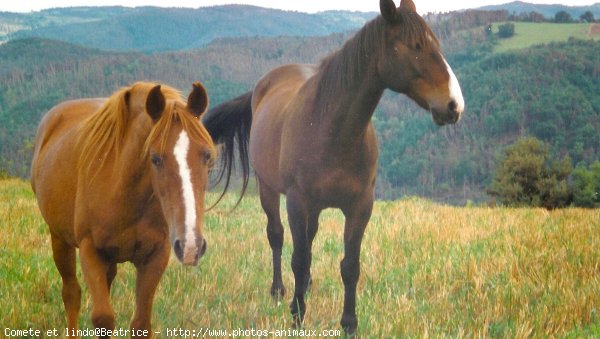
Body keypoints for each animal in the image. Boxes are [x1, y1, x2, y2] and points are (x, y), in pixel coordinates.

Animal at [30, 81, 214, 338]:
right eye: (155, 158)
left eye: (207, 155)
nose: (190, 246)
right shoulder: (90, 250)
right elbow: (103, 318)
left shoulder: (156, 255)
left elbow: (141, 323)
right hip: (59, 238)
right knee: (71, 293)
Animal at [202, 0, 464, 334]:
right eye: (417, 46)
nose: (454, 105)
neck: (331, 130)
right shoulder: (297, 202)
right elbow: (298, 258)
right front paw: (297, 316)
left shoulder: (360, 206)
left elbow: (349, 266)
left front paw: (349, 323)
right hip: (269, 189)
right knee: (277, 236)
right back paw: (279, 290)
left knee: (309, 240)